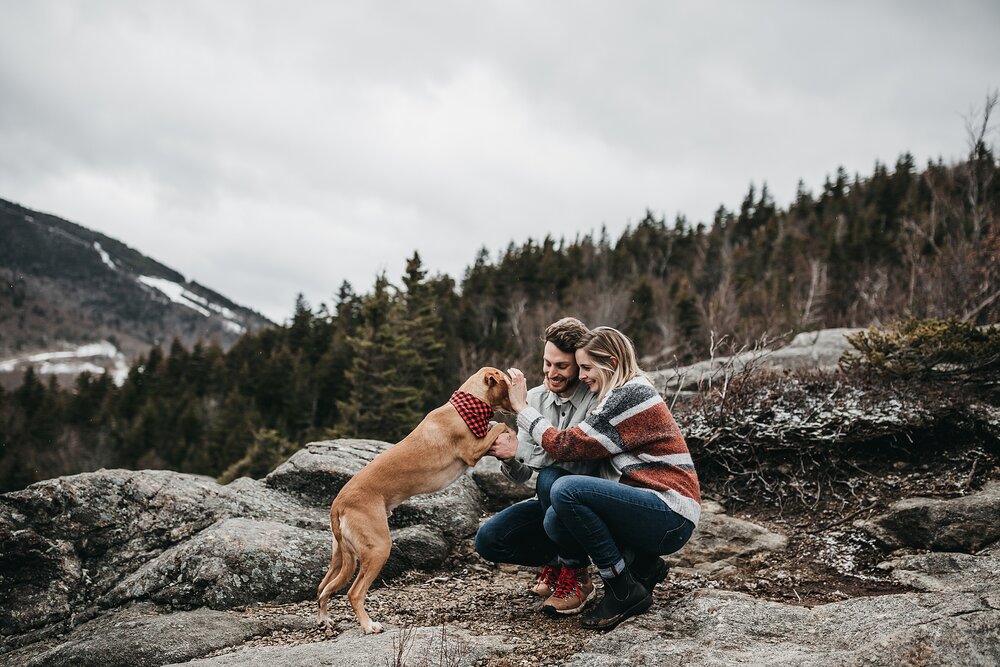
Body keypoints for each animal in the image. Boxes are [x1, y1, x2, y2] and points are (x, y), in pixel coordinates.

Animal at [316, 368, 512, 636]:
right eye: (509, 383)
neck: (466, 407)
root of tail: (338, 504)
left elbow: (496, 425)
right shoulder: (472, 451)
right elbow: (501, 425)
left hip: (340, 556)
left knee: (322, 588)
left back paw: (324, 620)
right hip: (378, 549)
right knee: (354, 593)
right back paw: (368, 625)